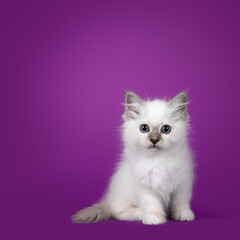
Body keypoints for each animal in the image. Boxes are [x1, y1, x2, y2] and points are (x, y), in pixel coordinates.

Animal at [72, 90, 195, 225]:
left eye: (166, 129)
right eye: (144, 128)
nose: (154, 140)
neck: (157, 160)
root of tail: (107, 201)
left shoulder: (182, 184)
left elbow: (180, 203)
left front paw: (184, 215)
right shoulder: (144, 186)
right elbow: (152, 204)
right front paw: (155, 218)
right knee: (121, 213)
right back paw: (144, 215)